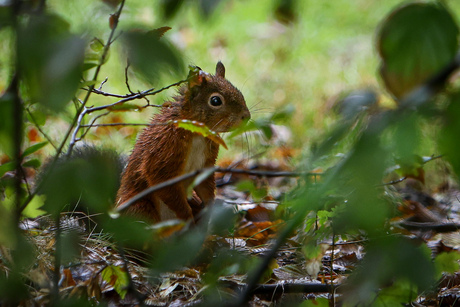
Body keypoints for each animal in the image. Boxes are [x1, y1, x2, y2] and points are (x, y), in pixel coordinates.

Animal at [117, 61, 250, 223]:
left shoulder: (205, 162)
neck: (197, 133)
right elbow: (161, 181)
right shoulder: (164, 148)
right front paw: (186, 214)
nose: (246, 116)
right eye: (215, 101)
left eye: (240, 93)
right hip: (140, 210)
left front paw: (210, 206)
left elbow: (204, 184)